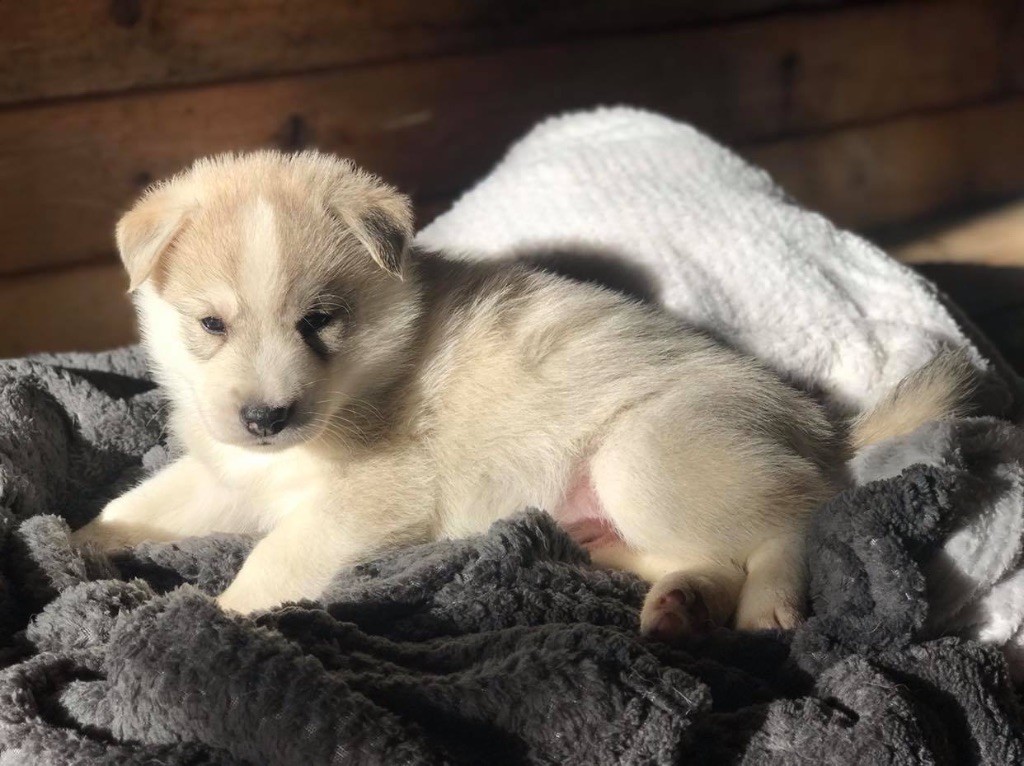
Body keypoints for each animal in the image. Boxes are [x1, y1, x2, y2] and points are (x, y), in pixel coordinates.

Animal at [72, 150, 973, 637]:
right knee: (713, 551)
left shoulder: (367, 498)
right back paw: (676, 606)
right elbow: (139, 504)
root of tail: (821, 423)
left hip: (645, 456)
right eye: (211, 324)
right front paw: (75, 541)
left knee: (797, 515)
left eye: (319, 321)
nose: (266, 417)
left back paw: (768, 605)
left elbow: (277, 554)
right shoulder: (225, 472)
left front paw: (221, 613)